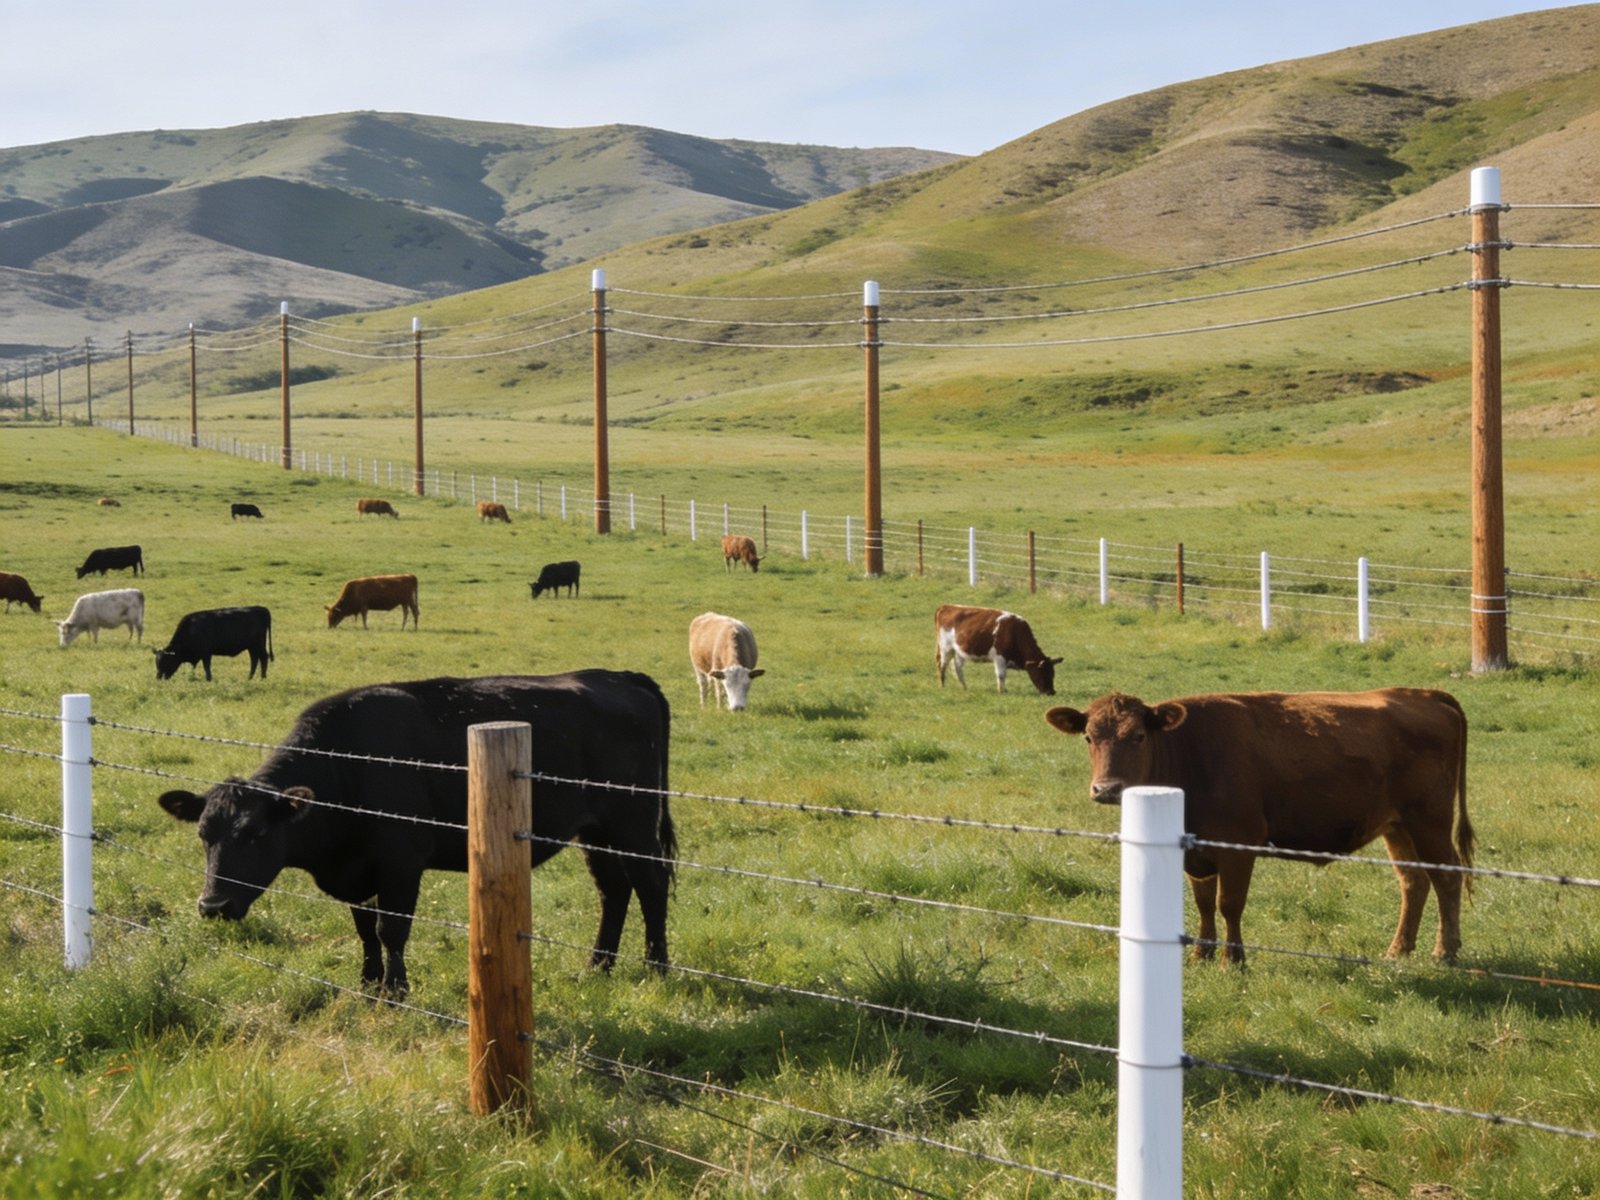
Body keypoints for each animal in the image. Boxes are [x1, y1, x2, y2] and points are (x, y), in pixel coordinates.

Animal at [156, 670, 675, 994]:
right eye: (203, 835)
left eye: (256, 834)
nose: (213, 906)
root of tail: (621, 676)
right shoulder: (358, 871)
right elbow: (364, 928)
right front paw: (368, 985)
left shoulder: (401, 863)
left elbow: (391, 929)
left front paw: (396, 989)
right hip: (596, 831)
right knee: (614, 889)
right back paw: (598, 967)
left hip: (633, 823)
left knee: (650, 884)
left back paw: (656, 968)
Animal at [1044, 688, 1474, 966]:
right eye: (1088, 737)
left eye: (1137, 736)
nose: (1107, 789)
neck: (1191, 755)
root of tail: (1425, 693)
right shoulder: (1193, 850)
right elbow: (1203, 902)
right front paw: (1201, 953)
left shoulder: (1238, 845)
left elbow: (1229, 904)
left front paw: (1233, 960)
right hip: (1397, 826)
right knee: (1413, 880)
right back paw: (1398, 950)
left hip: (1429, 821)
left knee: (1447, 877)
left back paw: (1446, 951)